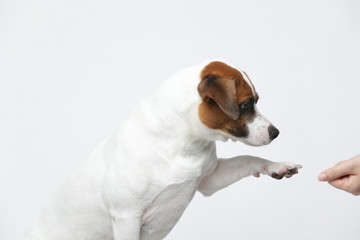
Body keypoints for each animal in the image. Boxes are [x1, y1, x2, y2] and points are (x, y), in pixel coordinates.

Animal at [23, 60, 300, 240]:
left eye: (255, 101)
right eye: (245, 105)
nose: (275, 132)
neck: (183, 141)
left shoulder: (210, 179)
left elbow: (247, 158)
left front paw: (277, 166)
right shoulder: (127, 217)